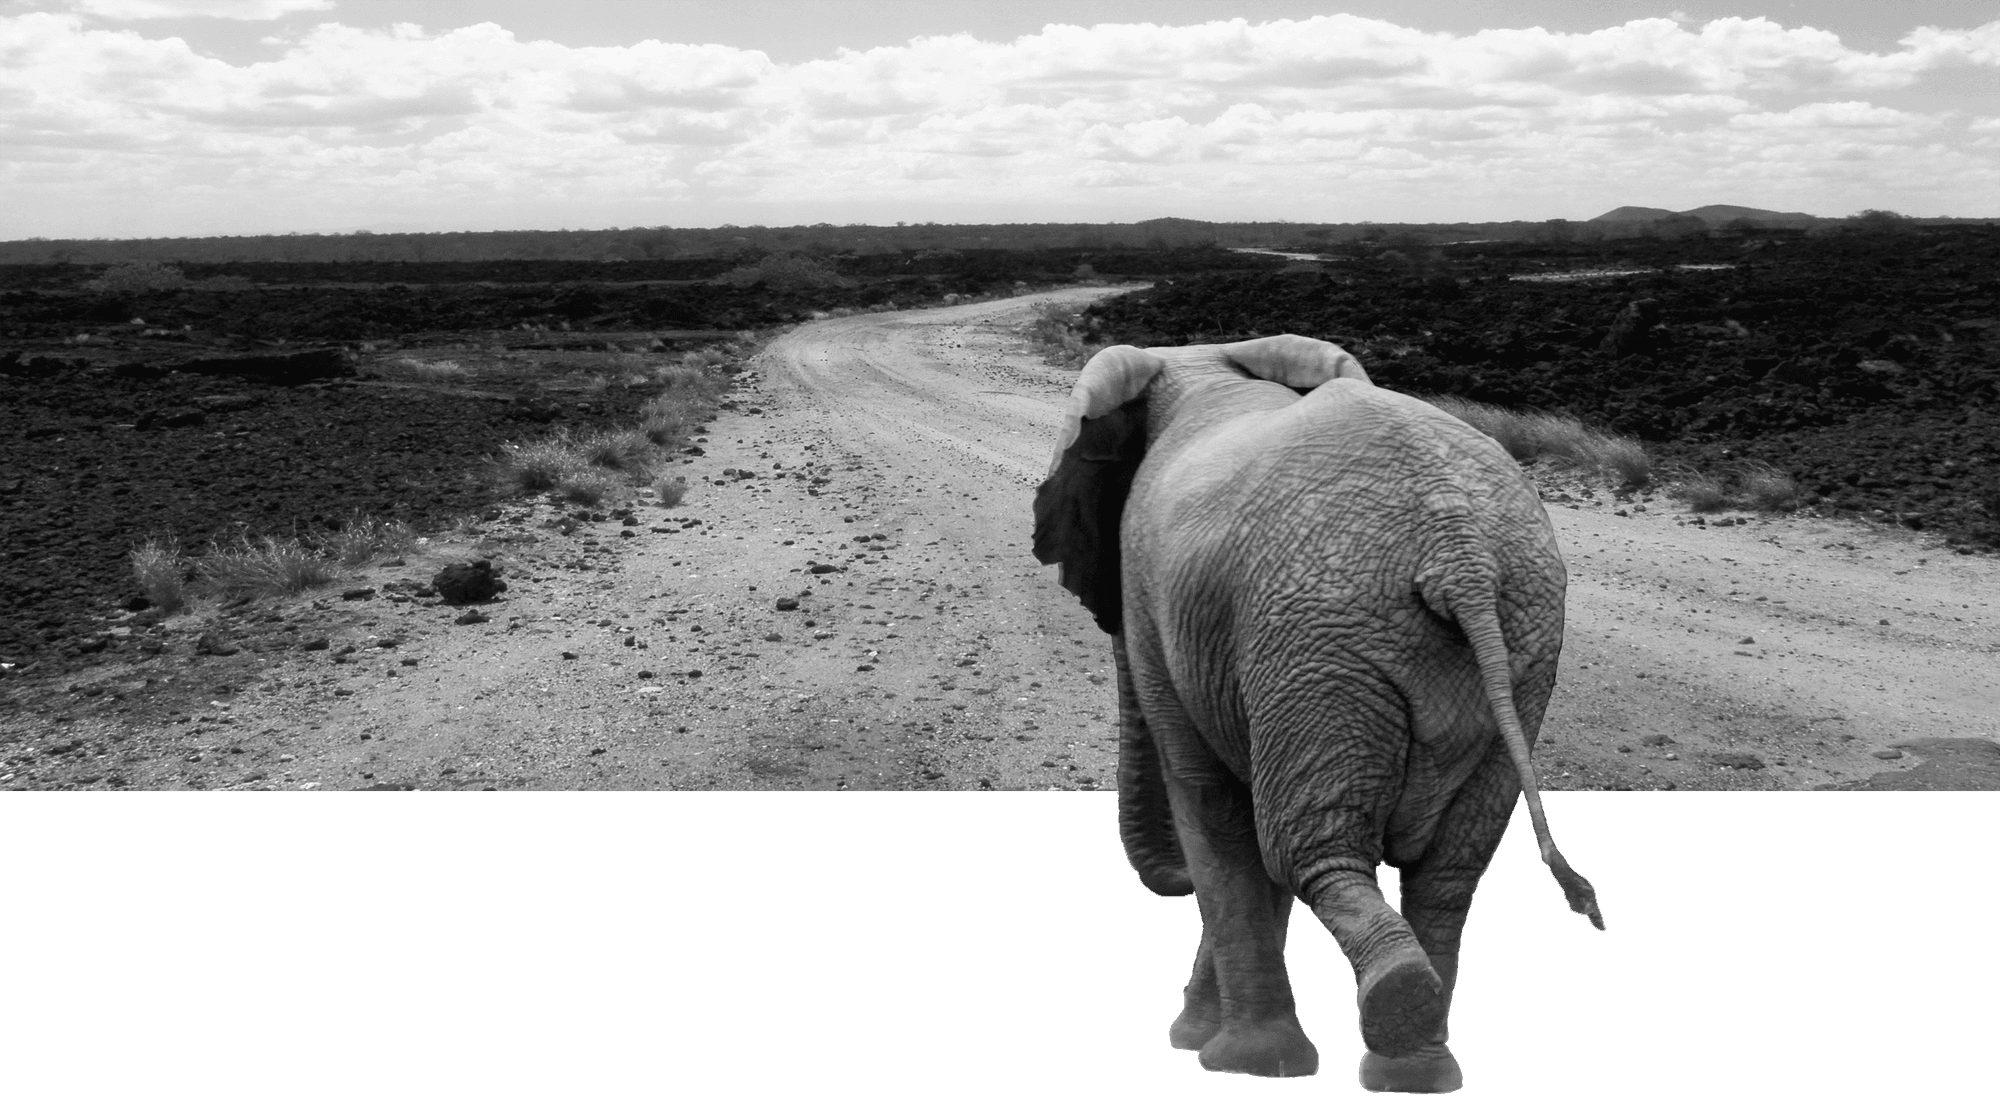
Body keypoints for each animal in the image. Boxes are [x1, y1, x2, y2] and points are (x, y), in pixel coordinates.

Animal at [1032, 338, 1608, 1088]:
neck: (1201, 363)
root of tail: (1459, 552)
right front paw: (1207, 1042)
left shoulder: (1155, 596)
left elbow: (1215, 811)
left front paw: (1232, 1059)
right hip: (1508, 644)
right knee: (1449, 869)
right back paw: (1415, 1064)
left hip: (1321, 642)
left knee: (1307, 846)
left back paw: (1390, 1010)